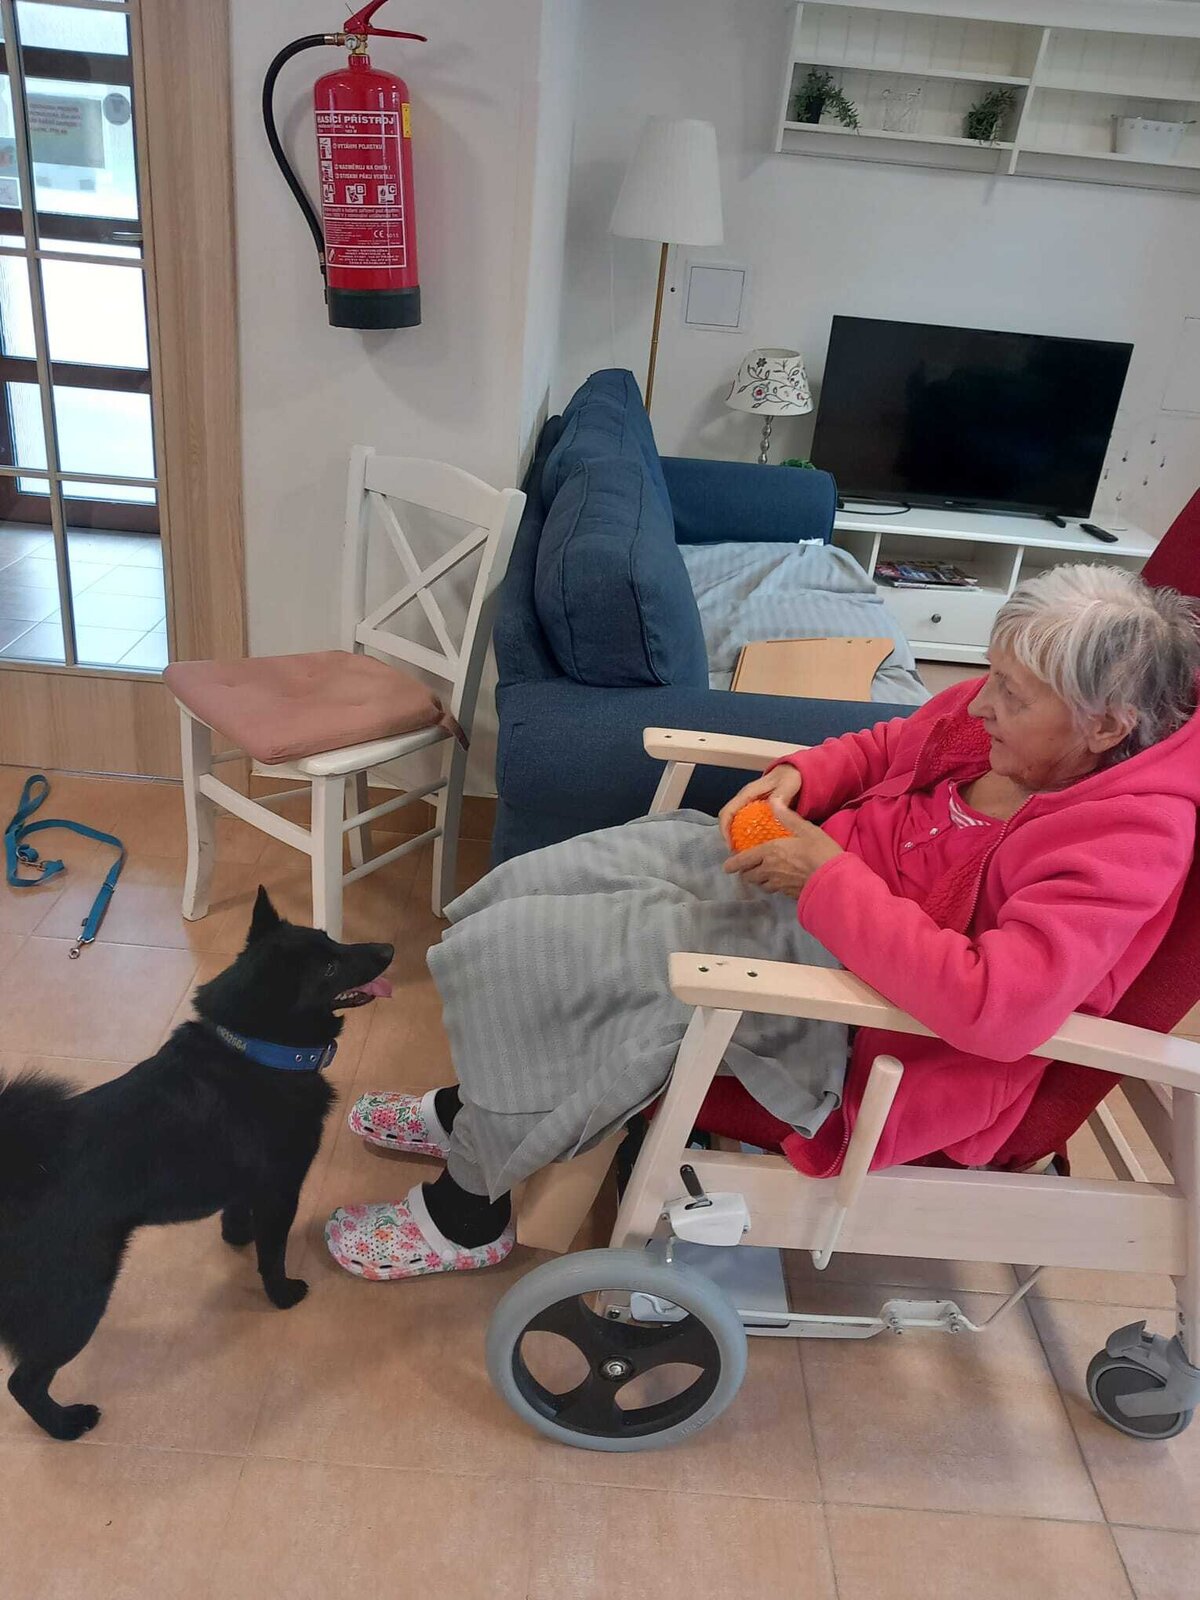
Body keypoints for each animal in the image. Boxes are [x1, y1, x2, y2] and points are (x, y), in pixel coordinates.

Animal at [0, 887, 393, 1440]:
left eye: (330, 938)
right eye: (331, 966)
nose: (388, 948)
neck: (259, 1053)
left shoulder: (248, 1186)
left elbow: (237, 1218)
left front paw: (237, 1238)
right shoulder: (281, 1187)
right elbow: (273, 1253)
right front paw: (281, 1294)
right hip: (76, 1297)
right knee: (24, 1382)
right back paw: (67, 1424)